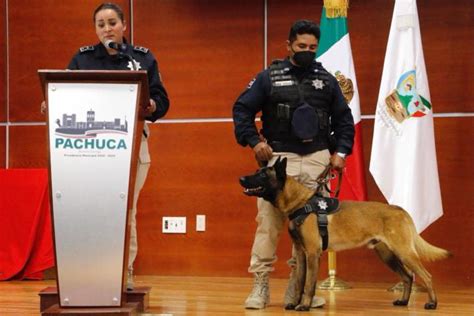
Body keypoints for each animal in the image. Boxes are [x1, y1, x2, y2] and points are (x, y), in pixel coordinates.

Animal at [241, 157, 452, 310]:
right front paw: (294, 303)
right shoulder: (301, 255)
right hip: (388, 255)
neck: (300, 203)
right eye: (257, 172)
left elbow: (309, 285)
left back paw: (432, 303)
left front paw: (305, 305)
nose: (241, 178)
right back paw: (404, 301)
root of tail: (400, 209)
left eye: (262, 174)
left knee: (426, 276)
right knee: (408, 276)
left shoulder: (312, 254)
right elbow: (299, 282)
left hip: (404, 253)